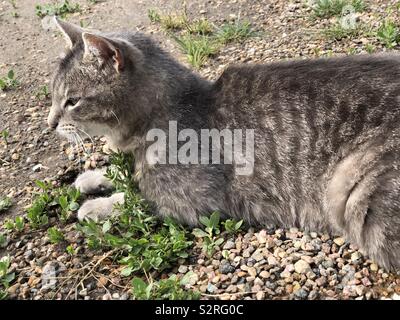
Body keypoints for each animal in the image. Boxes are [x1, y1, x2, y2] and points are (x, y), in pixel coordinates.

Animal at [47, 18, 400, 270]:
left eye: (72, 101)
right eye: (53, 97)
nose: (50, 123)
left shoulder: (189, 203)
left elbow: (135, 197)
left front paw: (95, 206)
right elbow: (124, 175)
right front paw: (93, 177)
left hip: (353, 192)